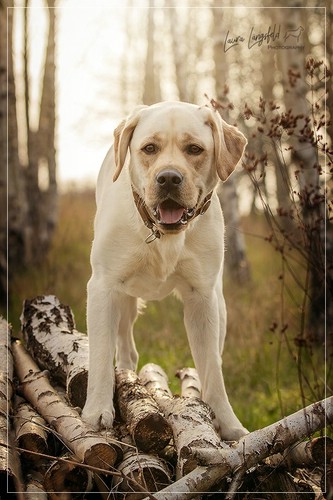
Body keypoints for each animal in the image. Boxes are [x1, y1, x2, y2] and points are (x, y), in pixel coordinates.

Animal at [82, 103, 248, 440]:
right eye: (149, 148)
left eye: (194, 149)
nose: (169, 178)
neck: (164, 236)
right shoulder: (103, 287)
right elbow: (102, 355)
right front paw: (97, 412)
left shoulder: (202, 298)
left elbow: (212, 368)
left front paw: (228, 425)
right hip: (124, 299)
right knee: (125, 348)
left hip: (220, 305)